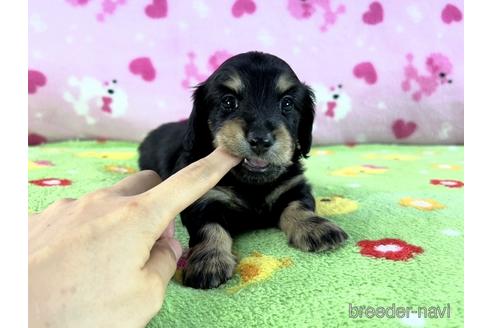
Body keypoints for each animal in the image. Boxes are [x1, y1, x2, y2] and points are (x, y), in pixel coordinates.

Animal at [136, 50, 348, 288]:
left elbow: (298, 205)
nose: (260, 140)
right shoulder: (203, 200)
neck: (251, 183)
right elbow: (209, 228)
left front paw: (316, 228)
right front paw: (209, 261)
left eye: (287, 103)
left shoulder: (293, 185)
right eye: (228, 101)